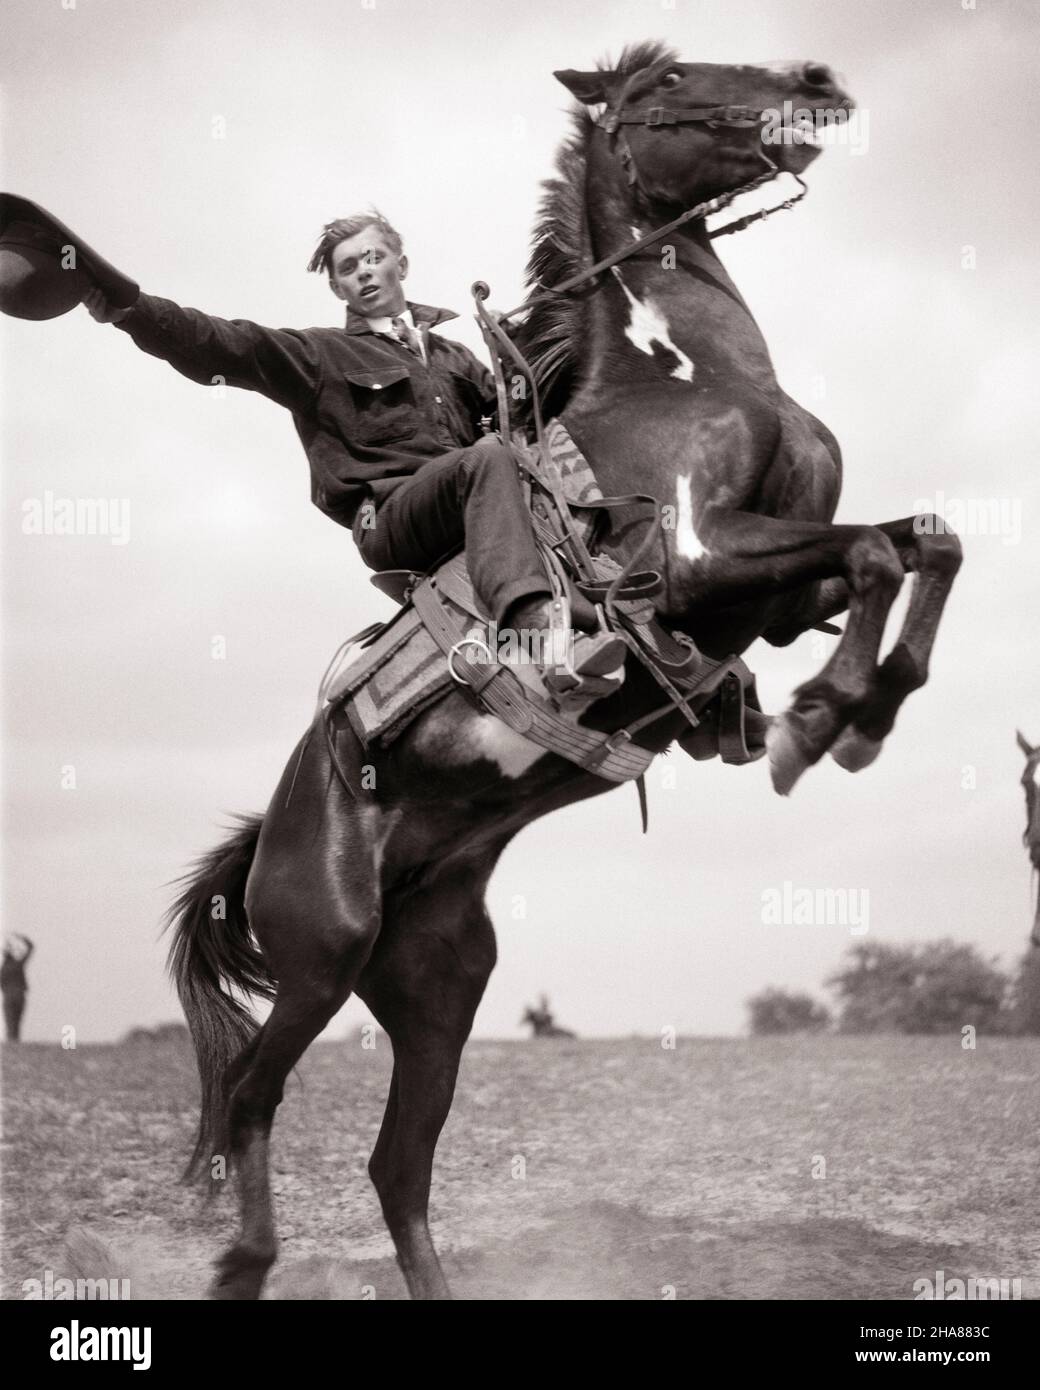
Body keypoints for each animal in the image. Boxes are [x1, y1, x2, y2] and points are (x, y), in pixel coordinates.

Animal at [168, 43, 956, 1301]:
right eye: (668, 81)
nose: (814, 76)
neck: (677, 378)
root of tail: (270, 834)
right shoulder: (694, 562)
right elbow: (881, 550)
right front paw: (823, 719)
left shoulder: (778, 599)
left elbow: (921, 540)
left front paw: (853, 711)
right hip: (322, 955)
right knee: (251, 1092)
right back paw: (242, 1258)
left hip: (437, 978)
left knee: (397, 1165)